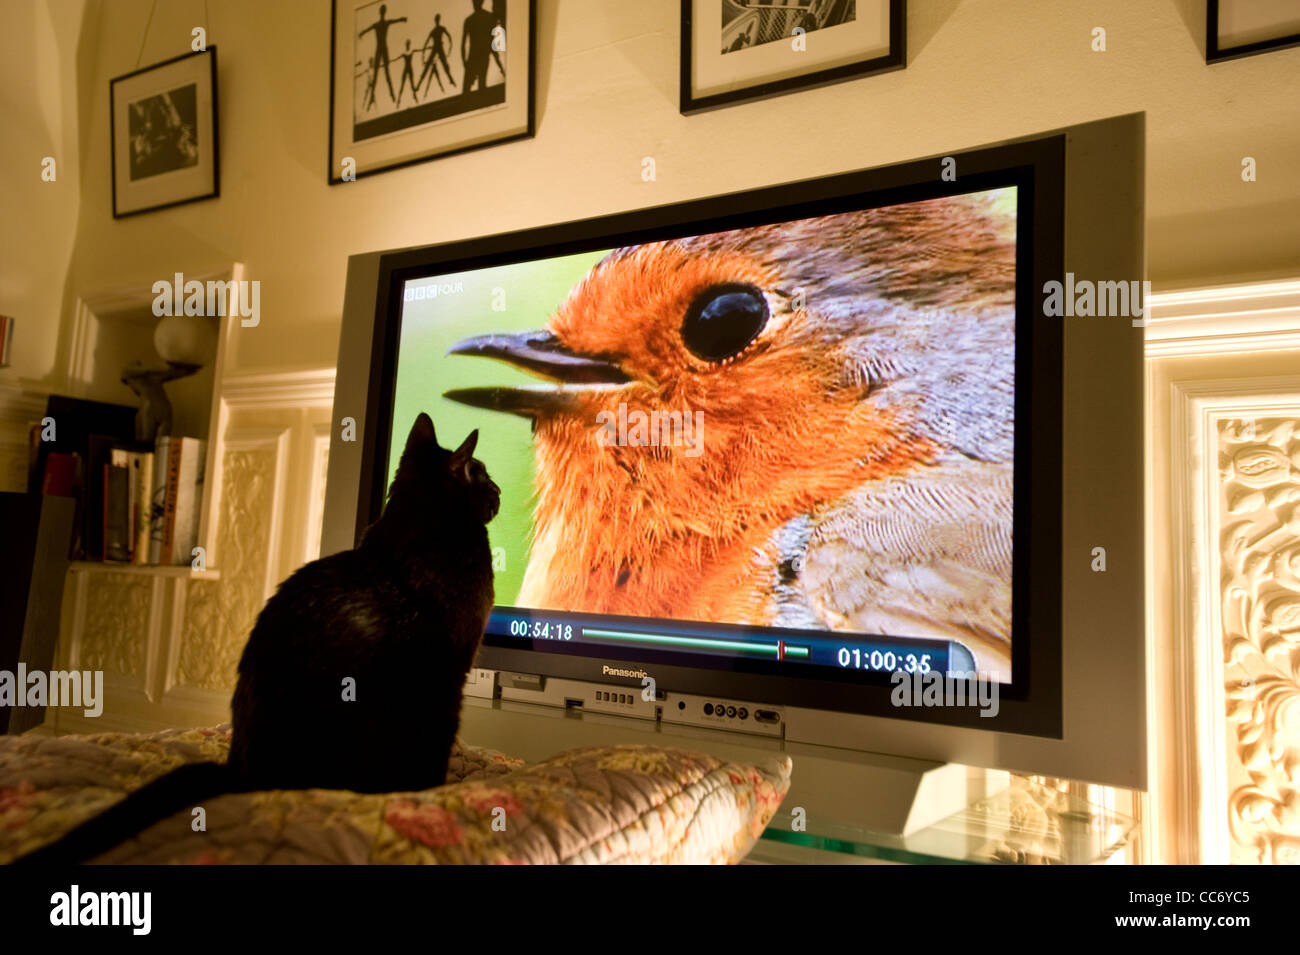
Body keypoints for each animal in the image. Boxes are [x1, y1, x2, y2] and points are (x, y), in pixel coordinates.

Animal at [20, 413, 496, 867]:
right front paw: (434, 795)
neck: (415, 527)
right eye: (482, 474)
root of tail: (245, 775)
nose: (499, 491)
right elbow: (438, 753)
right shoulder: (449, 683)